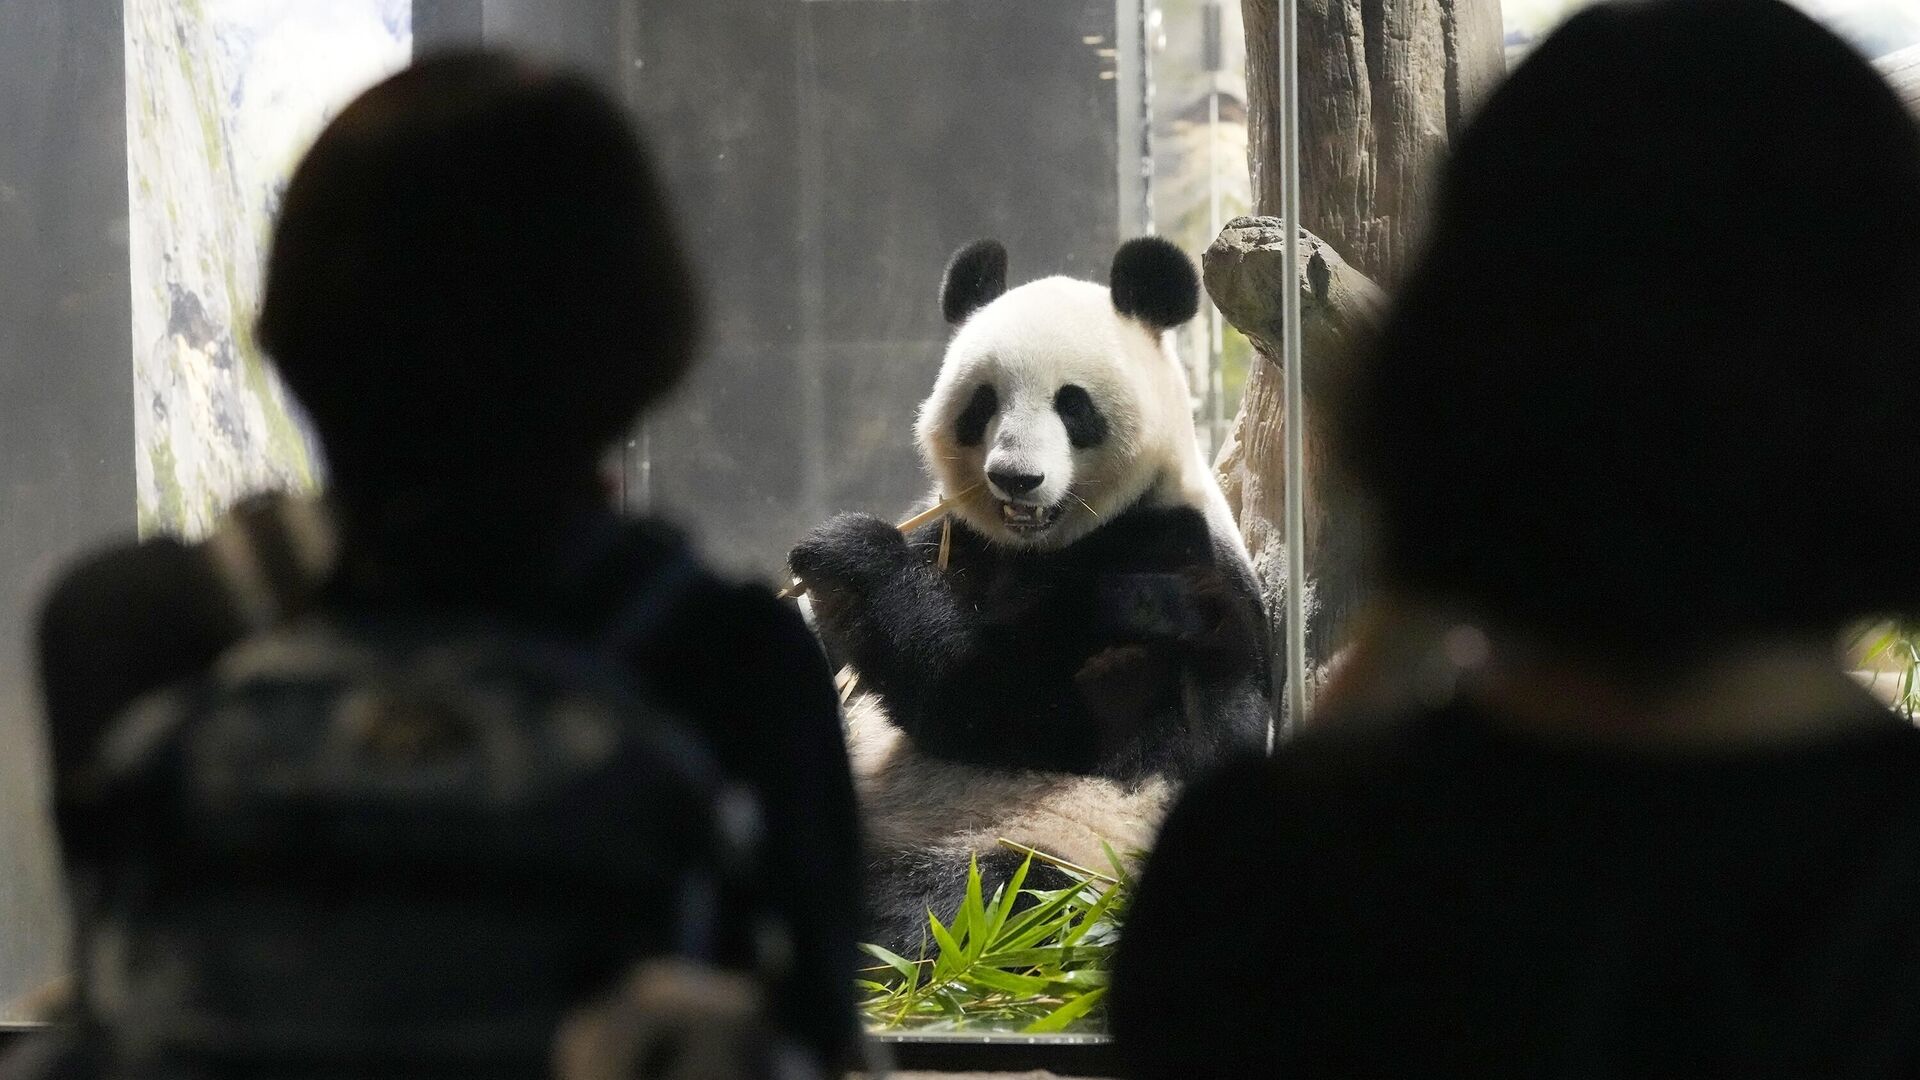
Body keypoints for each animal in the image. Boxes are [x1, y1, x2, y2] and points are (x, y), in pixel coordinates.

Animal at [787, 235, 1267, 949]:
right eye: (982, 403)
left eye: (1074, 405)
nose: (1016, 478)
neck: (1044, 545)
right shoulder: (955, 534)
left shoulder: (1169, 565)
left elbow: (1022, 707)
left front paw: (849, 562)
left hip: (1069, 856)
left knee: (967, 905)